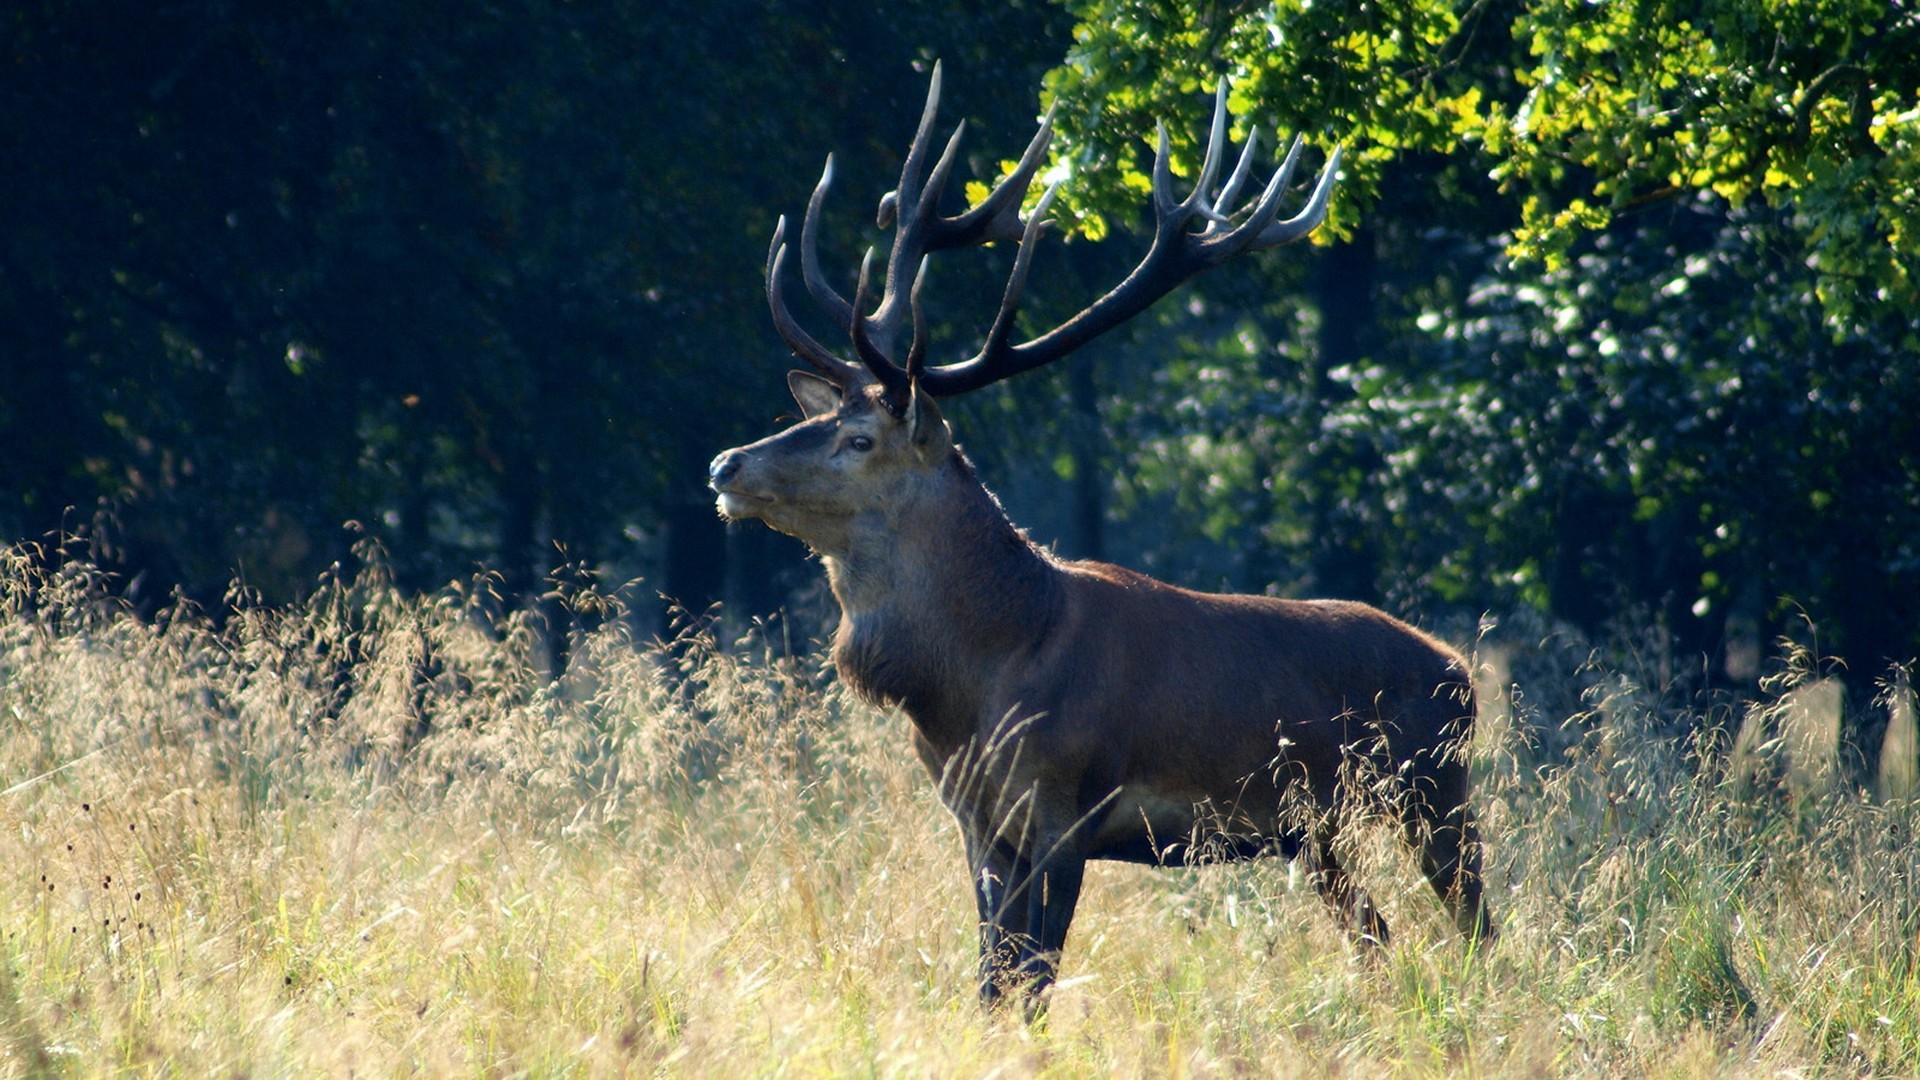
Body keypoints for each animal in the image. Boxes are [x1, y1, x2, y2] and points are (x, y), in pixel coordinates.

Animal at [710, 65, 1497, 1006]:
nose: (724, 464)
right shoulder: (975, 820)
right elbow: (992, 980)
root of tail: (1460, 671)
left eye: (859, 439)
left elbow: (1033, 981)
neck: (974, 683)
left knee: (1480, 927)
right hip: (1317, 832)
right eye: (818, 419)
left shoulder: (1066, 806)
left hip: (1434, 789)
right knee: (1378, 934)